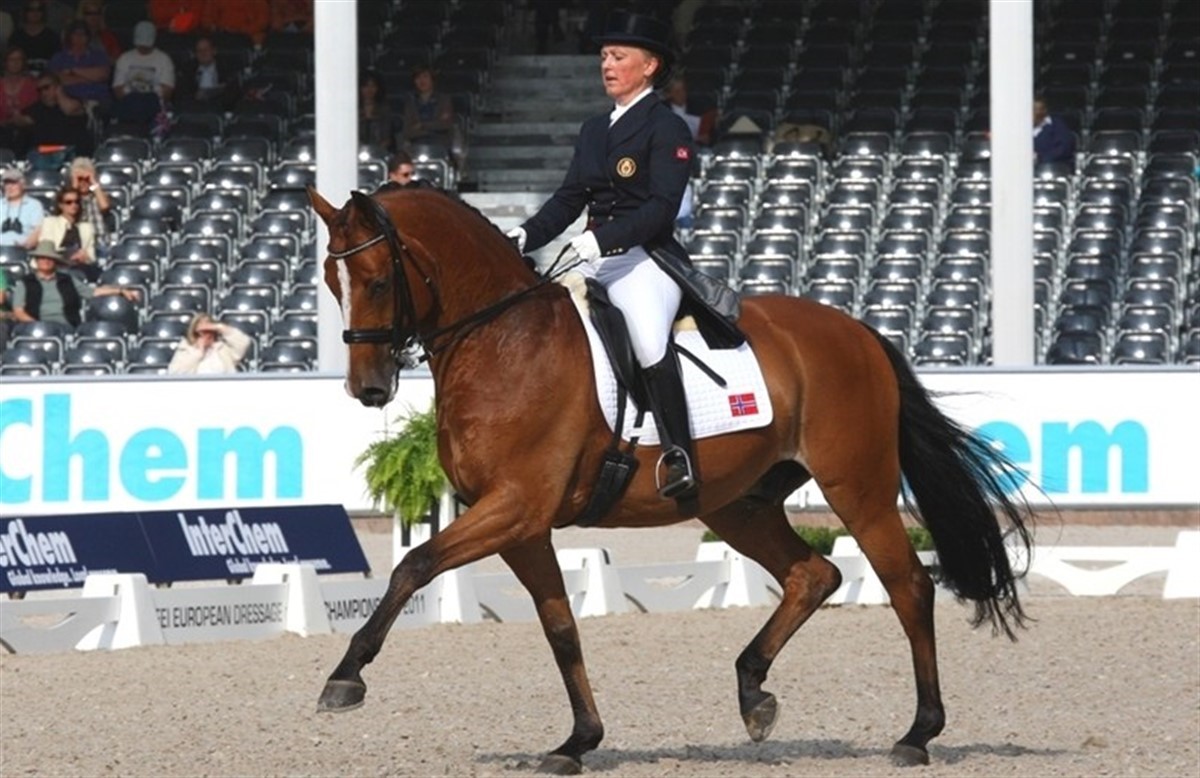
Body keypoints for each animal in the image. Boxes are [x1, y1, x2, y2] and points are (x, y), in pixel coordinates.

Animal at [307, 184, 1035, 774]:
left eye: (376, 279)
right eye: (329, 281)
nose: (368, 389)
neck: (504, 339)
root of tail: (859, 331)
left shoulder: (514, 506)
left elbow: (413, 565)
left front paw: (345, 678)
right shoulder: (522, 524)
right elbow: (560, 626)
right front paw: (578, 741)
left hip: (856, 488)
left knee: (908, 585)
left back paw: (917, 733)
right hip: (737, 504)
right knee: (813, 574)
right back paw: (753, 692)